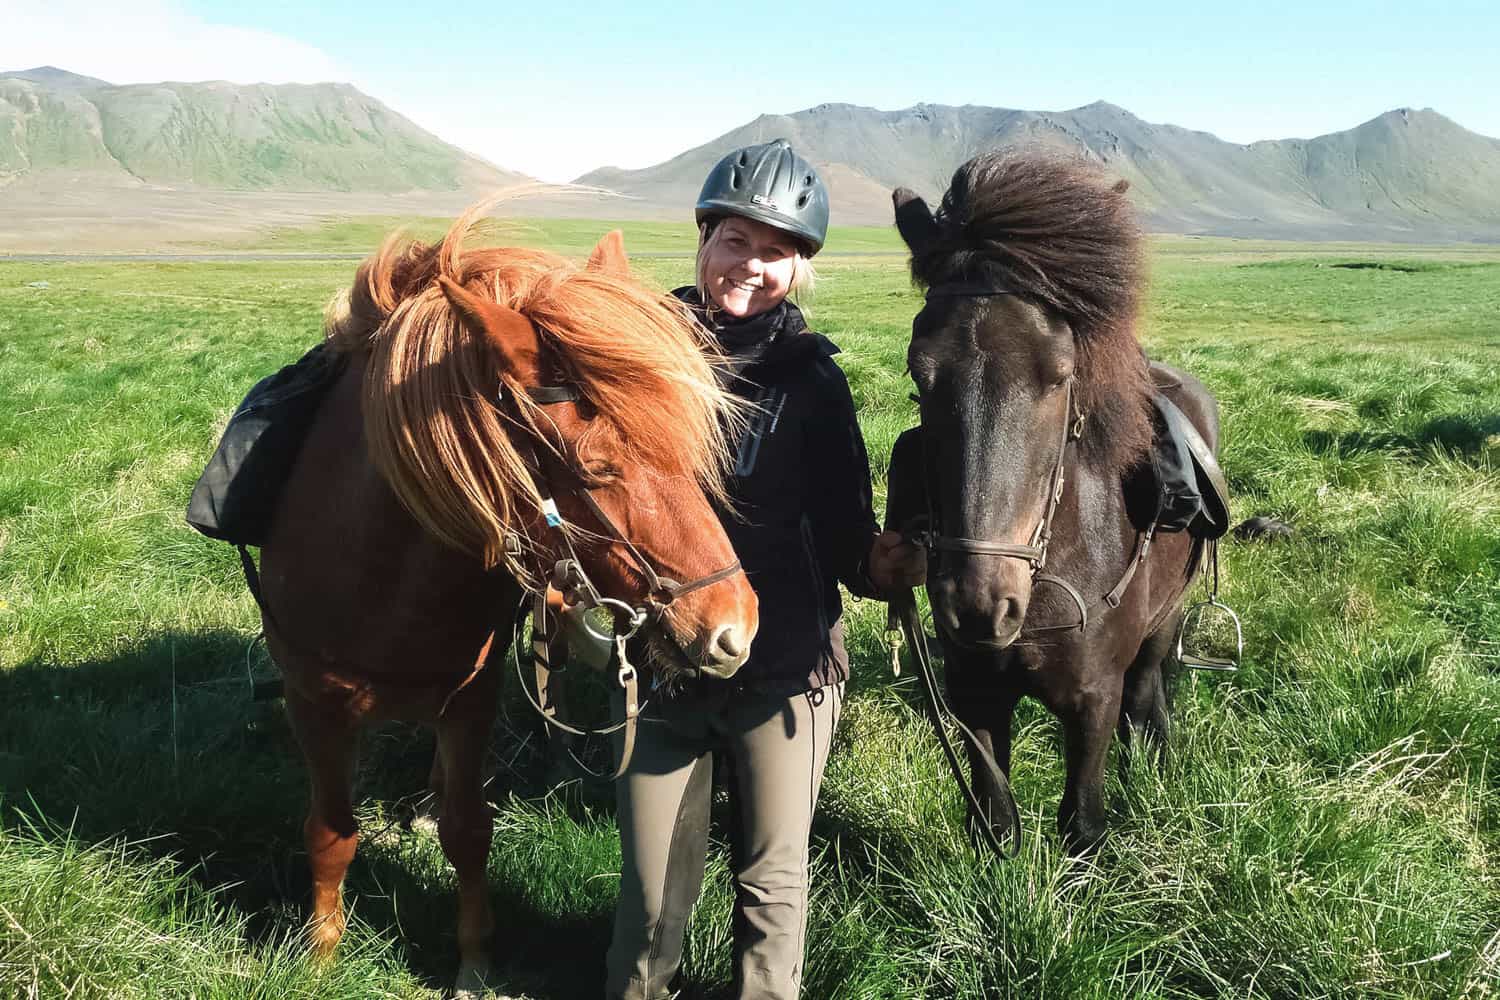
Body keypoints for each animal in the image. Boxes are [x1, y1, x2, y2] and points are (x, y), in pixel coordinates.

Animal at [256, 209, 759, 995]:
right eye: (596, 468)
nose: (734, 630)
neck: (378, 580)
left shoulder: (472, 697)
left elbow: (469, 830)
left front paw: (473, 960)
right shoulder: (310, 701)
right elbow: (330, 831)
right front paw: (322, 952)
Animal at [888, 153, 1223, 855]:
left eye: (1061, 374)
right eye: (918, 372)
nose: (981, 605)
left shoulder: (1092, 700)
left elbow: (1082, 824)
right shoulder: (974, 695)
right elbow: (996, 822)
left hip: (1168, 618)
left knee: (1147, 696)